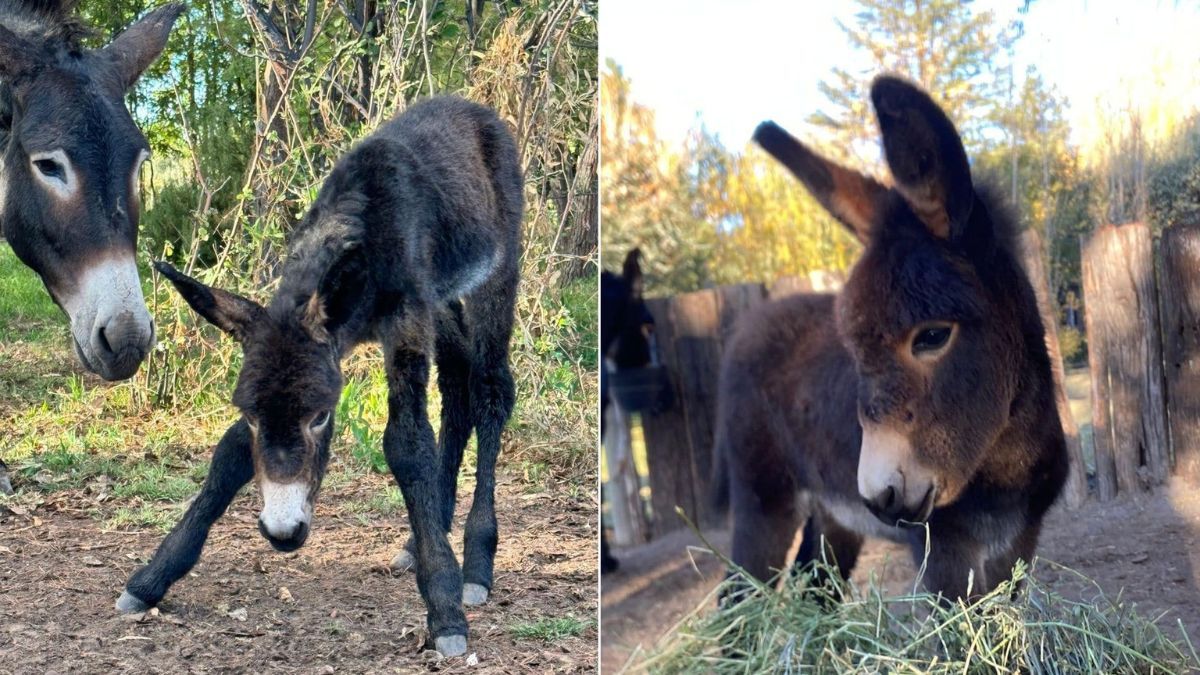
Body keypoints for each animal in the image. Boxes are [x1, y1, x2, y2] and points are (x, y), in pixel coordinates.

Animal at [115, 94, 520, 653]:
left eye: (322, 416)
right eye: (252, 415)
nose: (282, 533)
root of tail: (474, 109)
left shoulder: (406, 319)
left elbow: (407, 443)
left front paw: (445, 610)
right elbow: (229, 454)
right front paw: (152, 578)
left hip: (496, 273)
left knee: (491, 390)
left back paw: (477, 564)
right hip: (443, 301)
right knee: (458, 384)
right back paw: (425, 535)